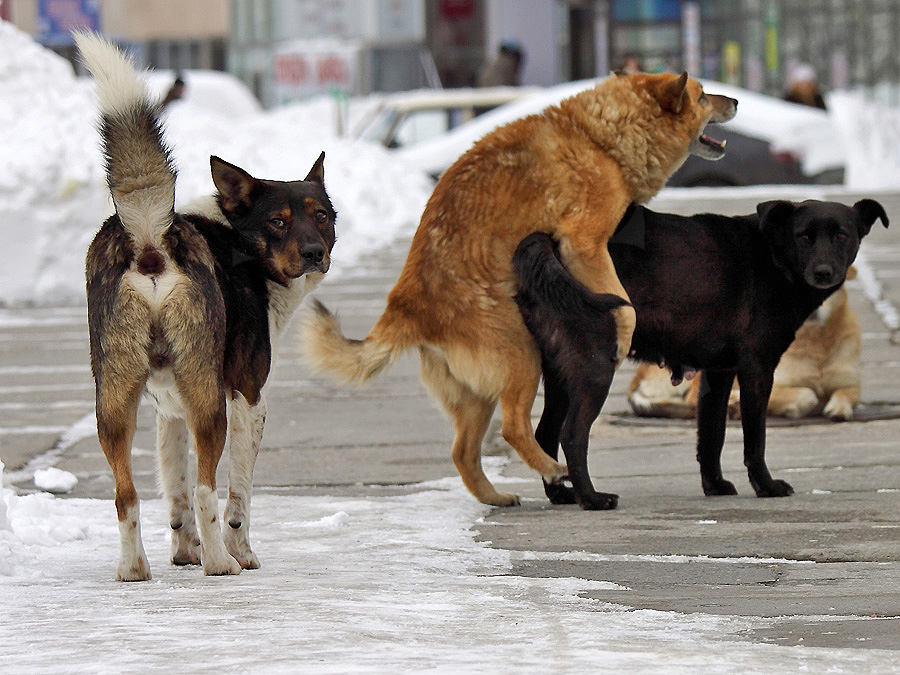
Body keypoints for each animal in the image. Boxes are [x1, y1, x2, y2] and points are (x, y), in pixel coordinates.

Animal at [76, 33, 338, 580]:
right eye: (279, 222)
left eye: (321, 216)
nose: (313, 253)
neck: (238, 243)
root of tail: (151, 237)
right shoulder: (247, 398)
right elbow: (237, 495)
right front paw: (239, 551)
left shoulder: (168, 412)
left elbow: (173, 493)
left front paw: (184, 552)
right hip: (208, 400)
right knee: (206, 490)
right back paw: (221, 563)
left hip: (115, 401)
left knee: (127, 496)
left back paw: (135, 568)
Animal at [304, 72, 740, 508]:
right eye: (704, 96)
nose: (735, 101)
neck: (599, 137)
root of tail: (406, 308)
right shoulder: (584, 245)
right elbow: (626, 307)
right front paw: (622, 332)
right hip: (522, 357)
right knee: (514, 428)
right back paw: (553, 469)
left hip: (479, 393)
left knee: (463, 452)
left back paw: (496, 497)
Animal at [628, 272, 860, 420]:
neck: (817, 342)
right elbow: (807, 395)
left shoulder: (851, 383)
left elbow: (848, 393)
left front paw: (839, 408)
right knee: (694, 400)